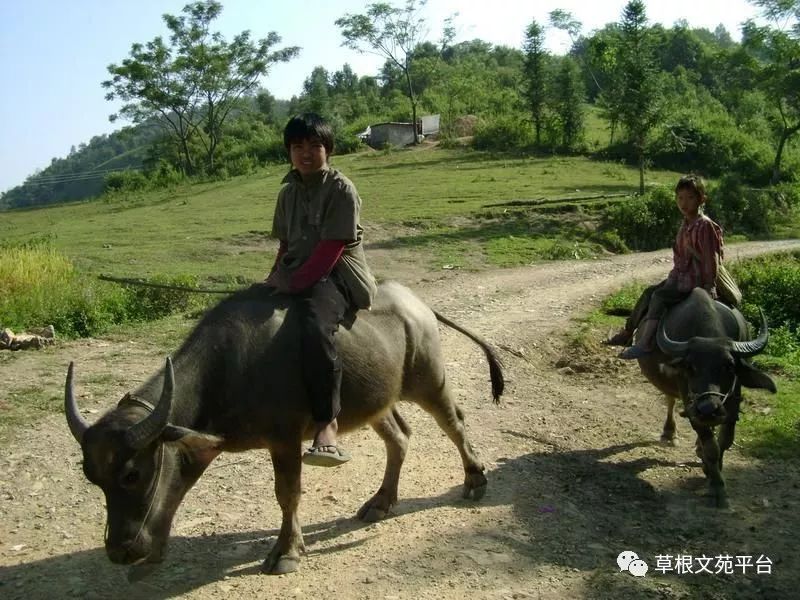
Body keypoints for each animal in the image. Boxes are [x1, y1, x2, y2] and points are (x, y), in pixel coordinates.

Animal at [64, 284, 500, 580]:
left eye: (132, 474)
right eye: (92, 478)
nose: (119, 550)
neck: (230, 367)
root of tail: (416, 303)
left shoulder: (285, 438)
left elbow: (287, 493)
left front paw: (287, 551)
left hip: (429, 380)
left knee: (453, 422)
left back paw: (474, 478)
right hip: (375, 400)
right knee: (399, 437)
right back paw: (381, 501)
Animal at [632, 288, 776, 508]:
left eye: (729, 366)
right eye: (690, 367)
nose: (708, 409)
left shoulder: (733, 401)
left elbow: (725, 441)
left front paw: (714, 470)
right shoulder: (691, 405)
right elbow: (711, 447)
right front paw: (717, 488)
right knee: (670, 399)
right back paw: (669, 433)